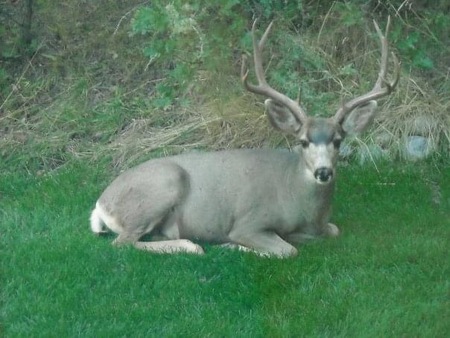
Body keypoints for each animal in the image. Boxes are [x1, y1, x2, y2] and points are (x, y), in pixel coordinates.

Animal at [89, 17, 400, 256]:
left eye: (338, 141)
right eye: (302, 141)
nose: (323, 172)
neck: (300, 205)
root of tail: (101, 204)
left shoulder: (322, 227)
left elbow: (332, 231)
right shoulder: (248, 222)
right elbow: (286, 250)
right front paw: (230, 246)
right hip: (163, 185)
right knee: (122, 243)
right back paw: (191, 246)